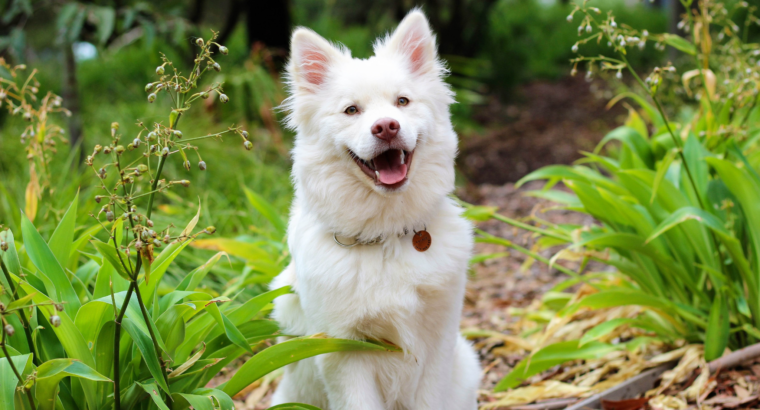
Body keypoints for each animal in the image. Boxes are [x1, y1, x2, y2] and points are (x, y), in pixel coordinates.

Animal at [270, 9, 478, 410]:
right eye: (351, 110)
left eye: (402, 102)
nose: (386, 127)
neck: (386, 236)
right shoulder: (344, 352)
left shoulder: (438, 341)